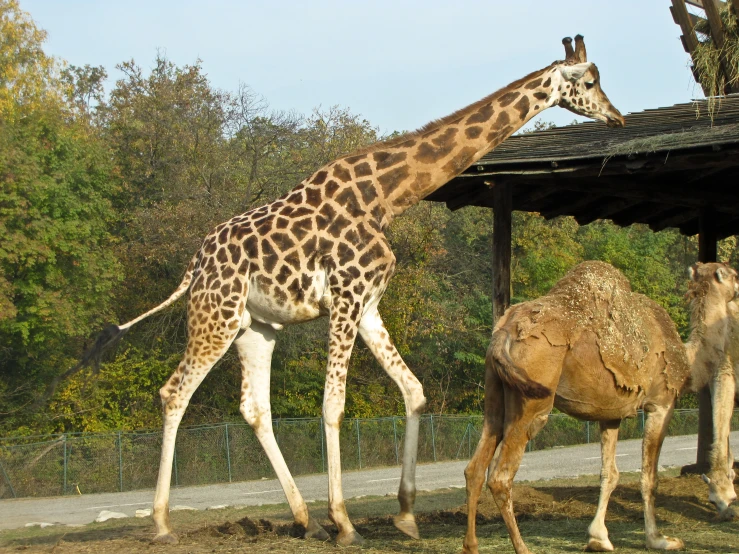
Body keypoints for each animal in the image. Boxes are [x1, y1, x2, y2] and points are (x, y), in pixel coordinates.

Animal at [86, 34, 624, 544]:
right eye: (591, 80)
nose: (617, 117)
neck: (386, 196)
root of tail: (194, 265)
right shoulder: (345, 297)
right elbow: (333, 404)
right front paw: (346, 522)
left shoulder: (367, 303)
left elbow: (413, 391)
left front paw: (405, 514)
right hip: (214, 315)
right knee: (174, 392)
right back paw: (162, 523)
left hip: (255, 326)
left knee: (254, 407)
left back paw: (305, 520)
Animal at [462, 260, 739, 552]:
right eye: (734, 276)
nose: (728, 504)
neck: (687, 359)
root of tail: (504, 331)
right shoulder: (660, 404)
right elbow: (649, 478)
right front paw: (660, 540)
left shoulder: (611, 415)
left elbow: (610, 474)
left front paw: (599, 538)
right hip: (532, 402)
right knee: (500, 476)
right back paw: (523, 547)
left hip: (495, 394)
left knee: (475, 468)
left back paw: (471, 546)